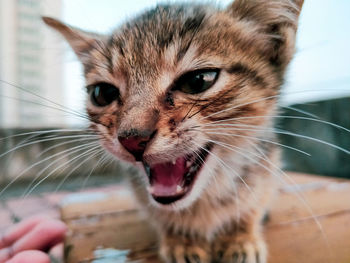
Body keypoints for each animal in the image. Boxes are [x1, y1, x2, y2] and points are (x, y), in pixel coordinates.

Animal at [43, 1, 304, 262]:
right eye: (102, 93)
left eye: (198, 80)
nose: (132, 139)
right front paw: (181, 239)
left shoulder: (267, 162)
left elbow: (253, 202)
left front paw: (239, 236)